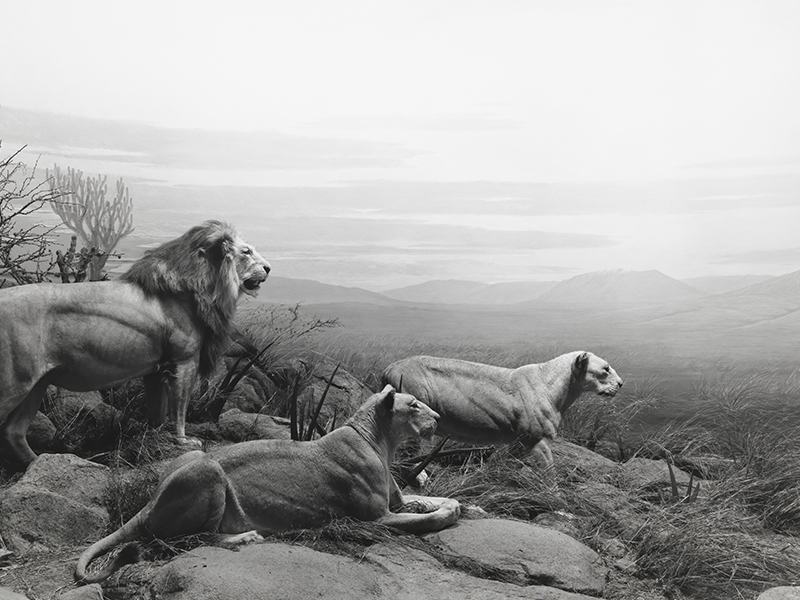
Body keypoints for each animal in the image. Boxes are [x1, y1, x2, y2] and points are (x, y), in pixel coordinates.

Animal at [0, 220, 270, 471]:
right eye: (246, 251)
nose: (268, 268)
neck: (201, 287)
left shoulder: (157, 370)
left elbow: (158, 413)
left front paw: (156, 439)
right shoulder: (184, 361)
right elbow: (180, 408)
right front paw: (183, 441)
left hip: (37, 384)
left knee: (13, 432)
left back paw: (43, 462)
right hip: (14, 385)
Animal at [75, 385, 461, 582]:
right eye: (414, 405)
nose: (439, 417)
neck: (381, 441)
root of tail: (149, 502)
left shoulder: (396, 502)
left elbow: (434, 500)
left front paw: (461, 503)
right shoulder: (375, 518)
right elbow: (428, 517)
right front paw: (450, 512)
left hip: (195, 457)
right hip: (208, 472)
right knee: (184, 539)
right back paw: (245, 537)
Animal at [382, 351, 624, 466]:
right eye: (605, 369)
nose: (621, 384)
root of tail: (389, 368)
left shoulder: (521, 442)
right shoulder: (533, 439)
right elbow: (547, 468)